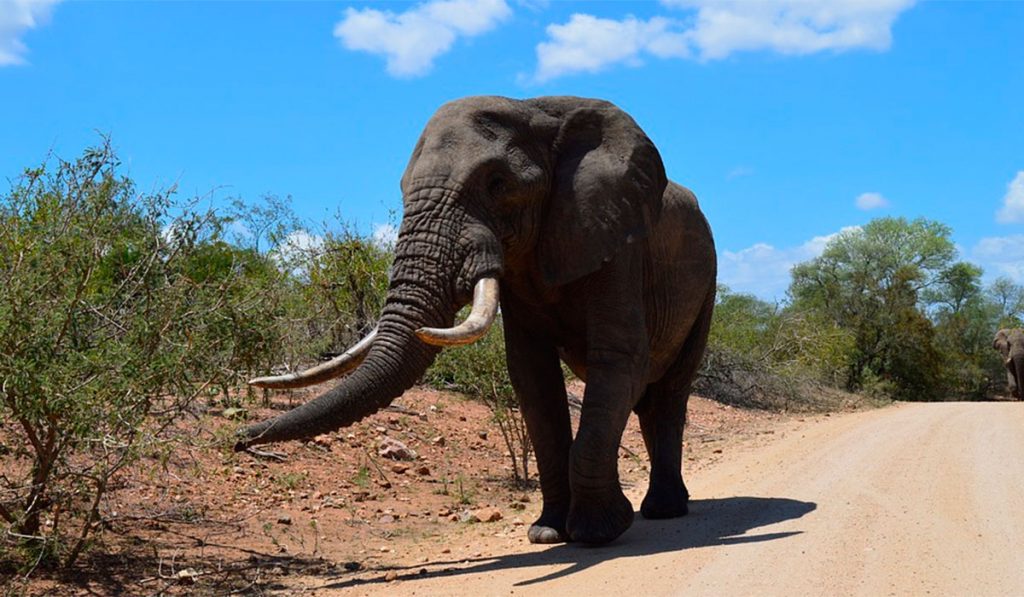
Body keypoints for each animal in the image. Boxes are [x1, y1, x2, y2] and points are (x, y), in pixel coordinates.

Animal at [236, 96, 717, 545]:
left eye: (497, 183)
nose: (239, 438)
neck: (537, 112)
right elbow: (532, 378)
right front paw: (547, 533)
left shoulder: (615, 243)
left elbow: (619, 361)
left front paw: (596, 534)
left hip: (706, 283)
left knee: (669, 393)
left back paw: (664, 510)